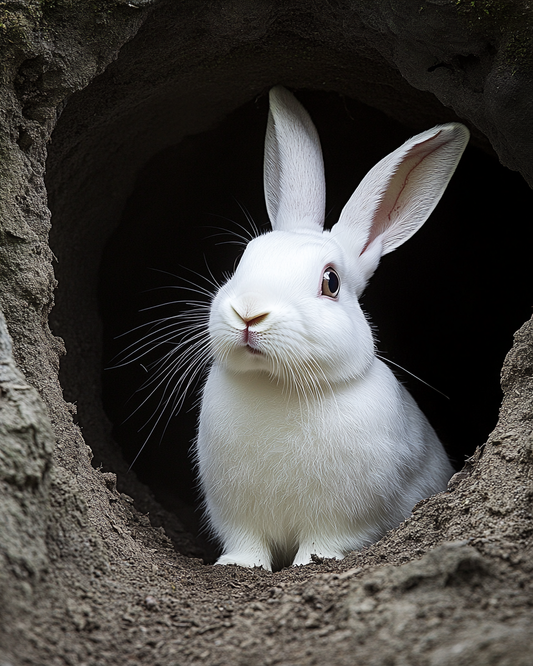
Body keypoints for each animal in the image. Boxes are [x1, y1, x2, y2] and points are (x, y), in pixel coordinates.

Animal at [195, 85, 468, 571]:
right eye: (245, 258)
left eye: (331, 282)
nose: (249, 313)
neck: (277, 385)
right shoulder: (238, 518)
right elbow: (247, 544)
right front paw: (238, 566)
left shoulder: (343, 519)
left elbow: (324, 543)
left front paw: (310, 563)